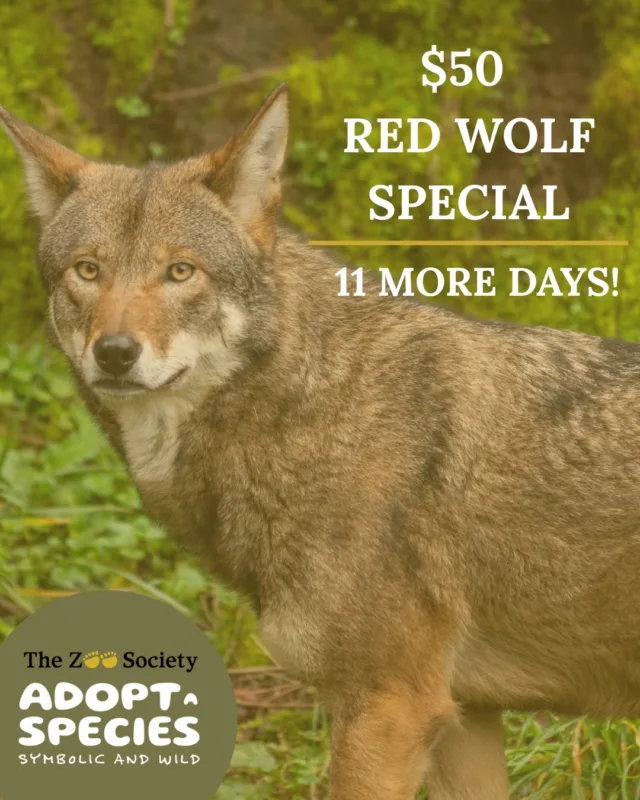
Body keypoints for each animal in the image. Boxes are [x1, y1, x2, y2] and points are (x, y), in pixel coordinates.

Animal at [3, 85, 640, 799]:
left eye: (180, 271)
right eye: (87, 270)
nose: (114, 353)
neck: (309, 411)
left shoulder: (387, 708)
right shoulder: (465, 718)